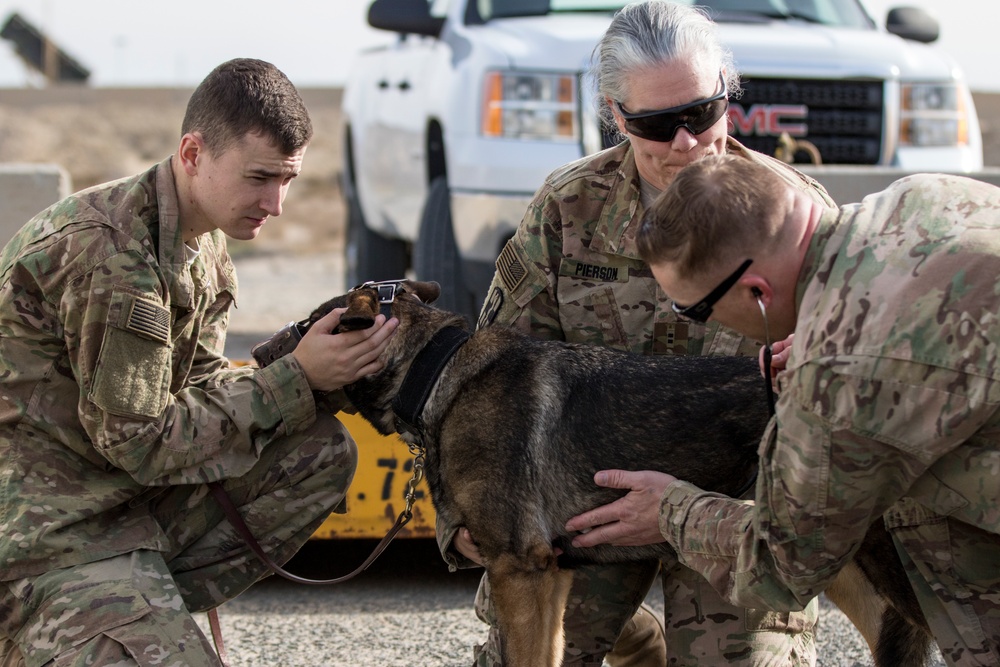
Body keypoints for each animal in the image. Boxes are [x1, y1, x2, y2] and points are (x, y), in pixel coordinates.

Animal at [274, 280, 928, 664]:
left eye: (308, 326)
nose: (258, 355)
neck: (436, 373)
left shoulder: (520, 573)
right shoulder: (552, 579)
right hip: (839, 566)